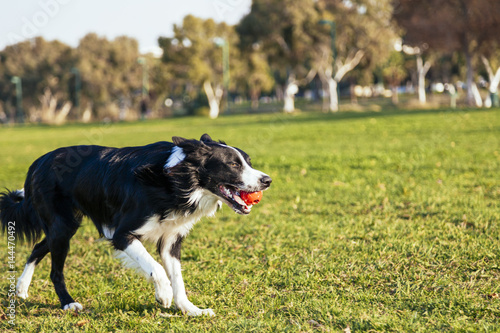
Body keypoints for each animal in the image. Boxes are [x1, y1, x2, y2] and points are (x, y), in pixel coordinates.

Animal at [0, 134, 272, 316]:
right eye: (233, 165)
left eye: (248, 162)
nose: (267, 180)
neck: (175, 181)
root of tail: (38, 162)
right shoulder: (122, 234)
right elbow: (157, 269)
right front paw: (163, 295)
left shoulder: (171, 240)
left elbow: (178, 277)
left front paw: (190, 309)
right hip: (62, 227)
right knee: (55, 270)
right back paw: (68, 302)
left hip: (65, 226)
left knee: (37, 247)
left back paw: (21, 289)